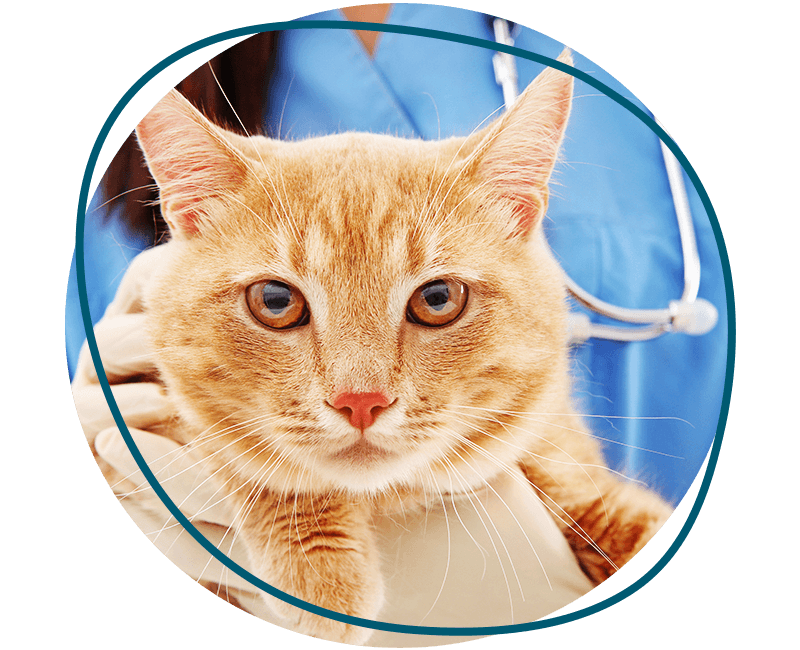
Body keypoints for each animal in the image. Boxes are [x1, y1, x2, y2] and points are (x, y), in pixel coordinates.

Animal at [134, 48, 672, 640]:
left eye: (438, 299)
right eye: (275, 301)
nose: (360, 401)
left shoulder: (567, 457)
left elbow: (605, 508)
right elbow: (233, 447)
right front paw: (320, 567)